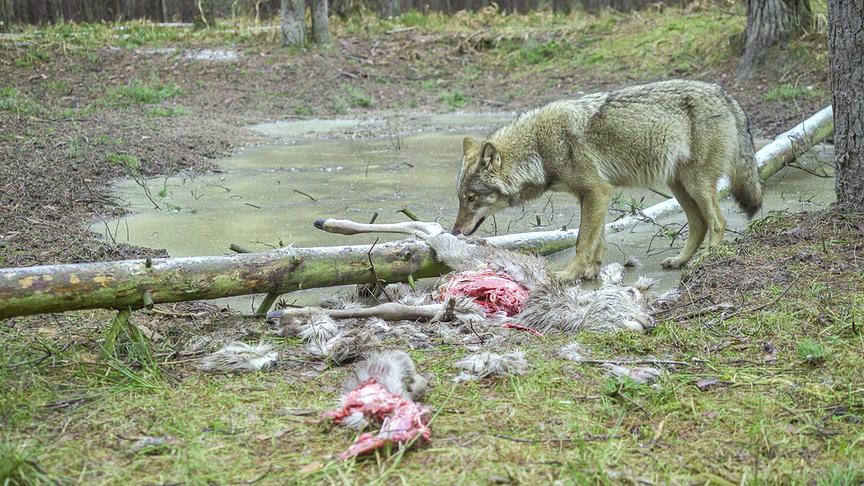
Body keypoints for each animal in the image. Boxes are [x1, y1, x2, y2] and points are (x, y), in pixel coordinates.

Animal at [452, 79, 762, 281]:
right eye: (460, 199)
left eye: (471, 198)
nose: (454, 232)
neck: (539, 148)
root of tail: (725, 95)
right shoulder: (595, 196)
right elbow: (597, 240)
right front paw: (591, 272)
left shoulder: (597, 191)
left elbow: (581, 241)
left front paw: (569, 275)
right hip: (678, 185)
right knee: (699, 224)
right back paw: (680, 261)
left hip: (696, 184)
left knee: (718, 222)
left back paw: (707, 259)